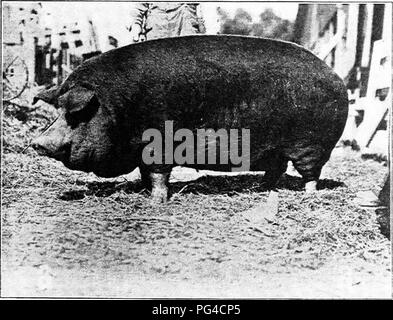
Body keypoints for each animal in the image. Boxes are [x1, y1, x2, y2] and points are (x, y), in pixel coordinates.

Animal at [32, 35, 348, 202]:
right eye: (58, 110)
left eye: (76, 113)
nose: (37, 142)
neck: (120, 109)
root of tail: (336, 76)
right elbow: (145, 174)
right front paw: (144, 192)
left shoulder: (158, 144)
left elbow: (159, 174)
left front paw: (156, 202)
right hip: (276, 148)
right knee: (276, 169)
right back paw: (260, 188)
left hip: (312, 144)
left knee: (310, 173)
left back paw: (309, 196)